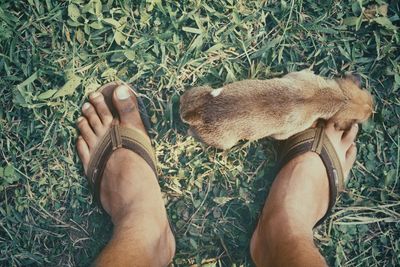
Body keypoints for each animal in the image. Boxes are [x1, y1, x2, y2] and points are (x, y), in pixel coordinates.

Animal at [180, 69, 374, 151]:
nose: (374, 109)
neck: (337, 98)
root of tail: (196, 115)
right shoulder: (284, 133)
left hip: (197, 91)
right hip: (224, 142)